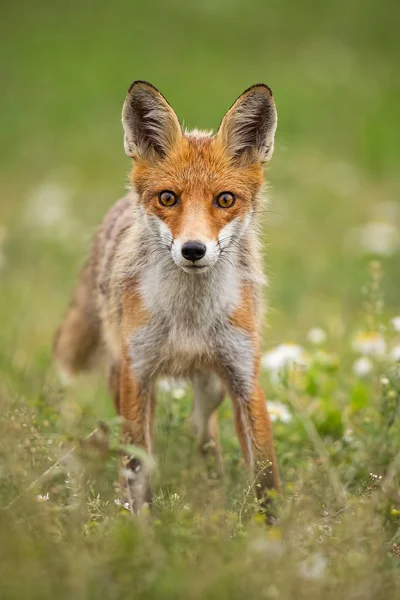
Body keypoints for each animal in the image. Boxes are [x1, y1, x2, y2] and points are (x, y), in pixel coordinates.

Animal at [53, 78, 280, 510]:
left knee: (202, 431)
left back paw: (212, 484)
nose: (193, 250)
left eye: (225, 199)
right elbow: (136, 467)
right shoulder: (138, 374)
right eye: (168, 198)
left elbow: (265, 474)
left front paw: (274, 526)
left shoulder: (245, 375)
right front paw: (137, 521)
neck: (189, 319)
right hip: (123, 376)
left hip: (212, 387)